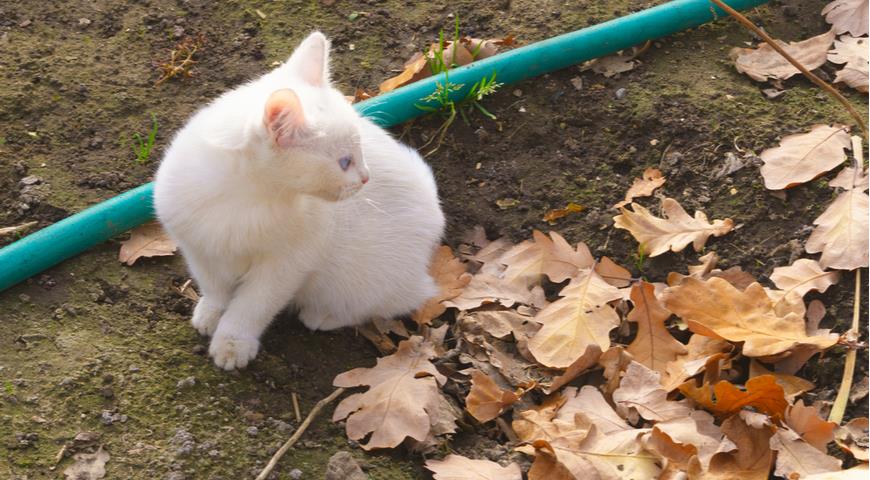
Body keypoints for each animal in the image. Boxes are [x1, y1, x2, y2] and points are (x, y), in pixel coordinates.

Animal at [151, 31, 446, 370]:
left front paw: (233, 342)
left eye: (358, 153)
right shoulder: (198, 248)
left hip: (361, 275)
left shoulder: (287, 264)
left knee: (399, 299)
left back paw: (326, 315)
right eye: (345, 162)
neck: (246, 198)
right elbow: (214, 287)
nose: (366, 177)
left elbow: (252, 305)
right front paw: (211, 312)